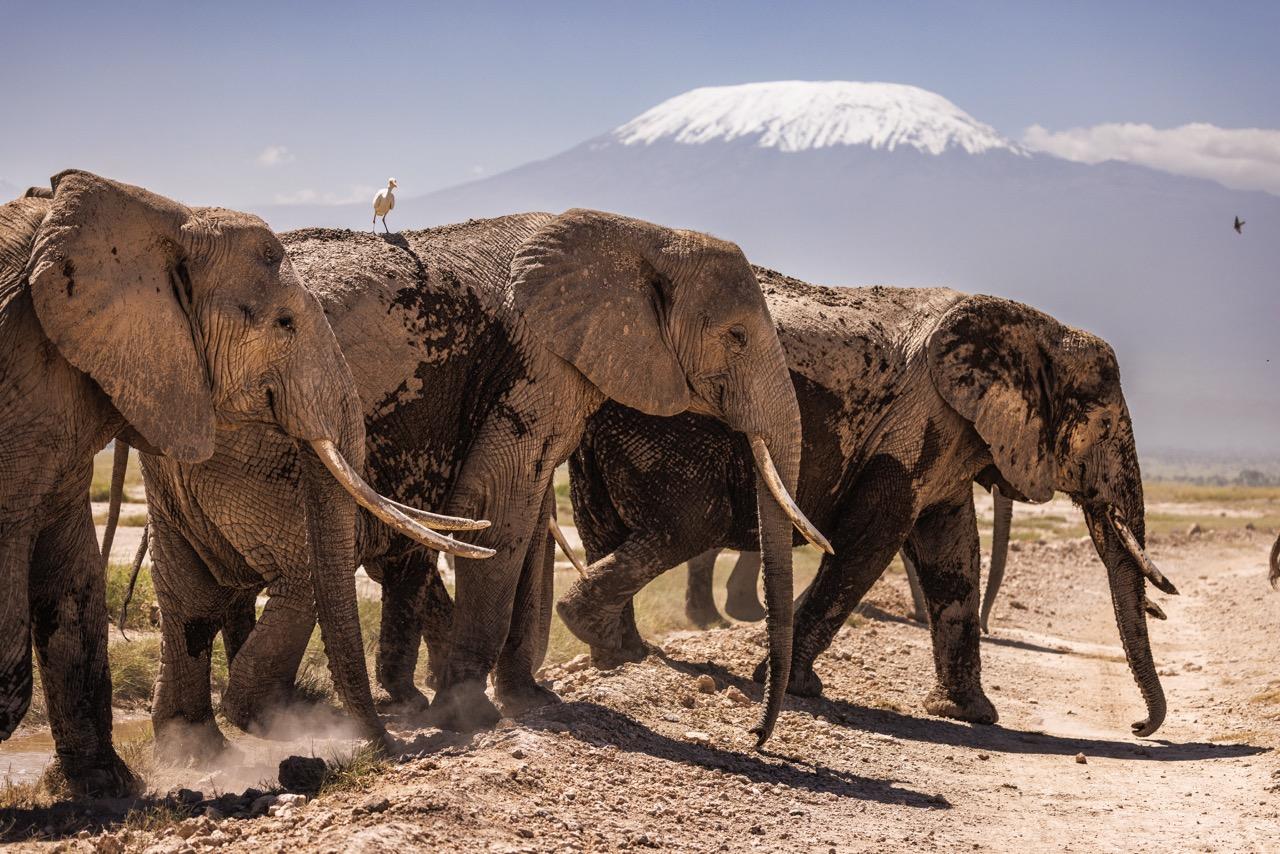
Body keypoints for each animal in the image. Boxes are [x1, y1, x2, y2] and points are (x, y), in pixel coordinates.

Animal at [0, 171, 465, 795]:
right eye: (284, 324)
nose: (386, 749)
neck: (165, 215)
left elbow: (73, 584)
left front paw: (107, 790)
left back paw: (198, 753)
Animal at [139, 209, 823, 757]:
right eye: (737, 337)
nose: (757, 736)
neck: (640, 234)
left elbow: (528, 513)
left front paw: (529, 701)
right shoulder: (539, 362)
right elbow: (500, 508)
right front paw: (474, 715)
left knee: (191, 587)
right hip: (252, 441)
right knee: (296, 573)